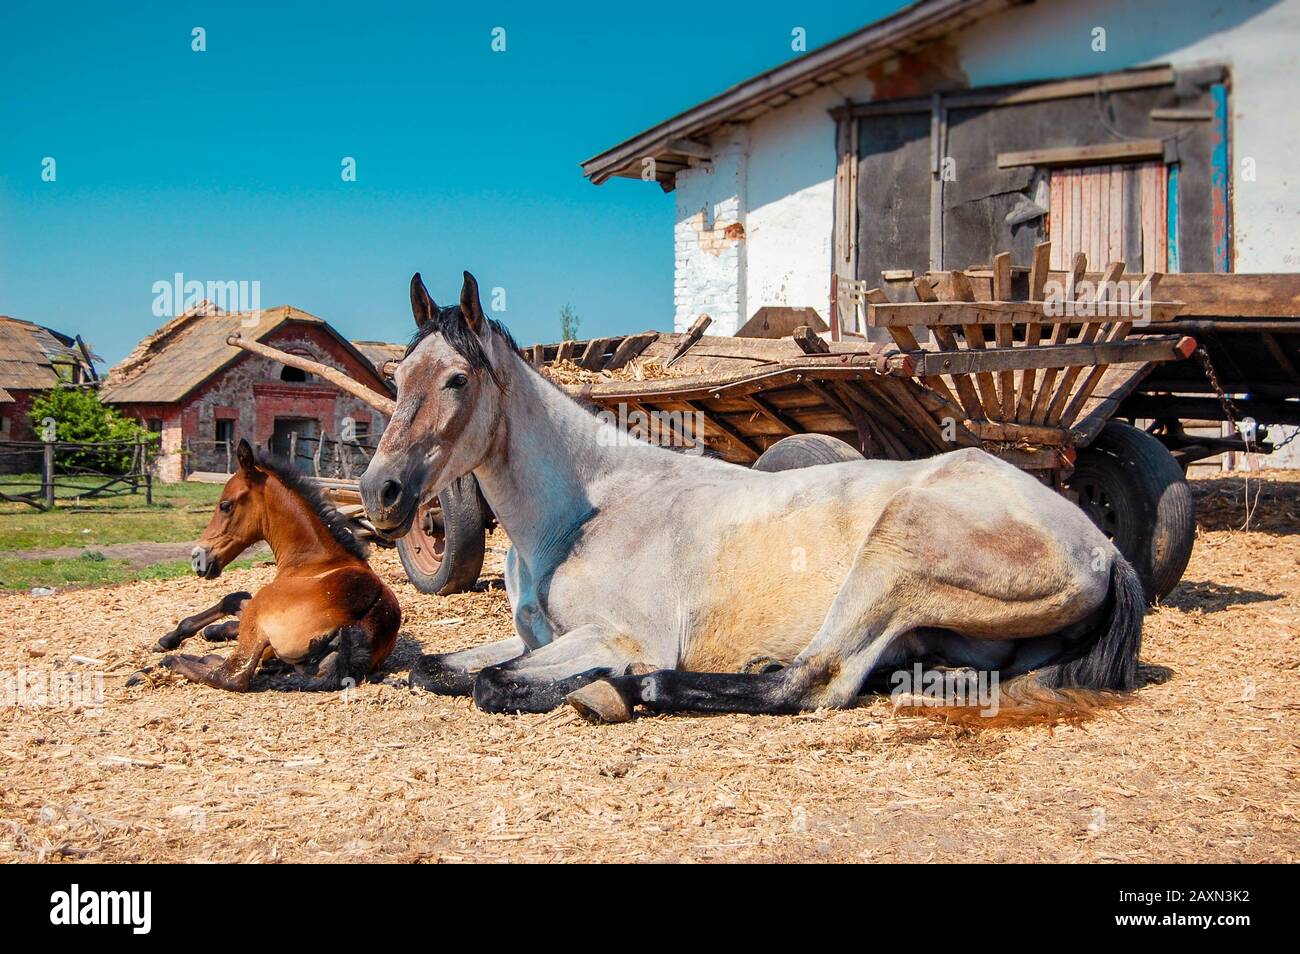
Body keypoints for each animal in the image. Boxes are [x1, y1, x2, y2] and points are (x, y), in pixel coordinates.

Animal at [155, 439, 401, 692]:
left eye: (225, 505)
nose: (198, 559)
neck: (315, 559)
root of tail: (362, 620)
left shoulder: (259, 613)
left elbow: (232, 599)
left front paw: (170, 639)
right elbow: (236, 602)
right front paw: (210, 631)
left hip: (259, 614)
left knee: (231, 675)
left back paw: (168, 662)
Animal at [359, 270, 1145, 723]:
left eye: (458, 380)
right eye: (398, 379)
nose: (381, 492)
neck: (583, 513)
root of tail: (1103, 548)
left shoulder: (619, 635)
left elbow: (494, 682)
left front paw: (607, 685)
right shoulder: (535, 638)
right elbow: (436, 667)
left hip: (895, 558)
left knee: (814, 682)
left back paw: (652, 689)